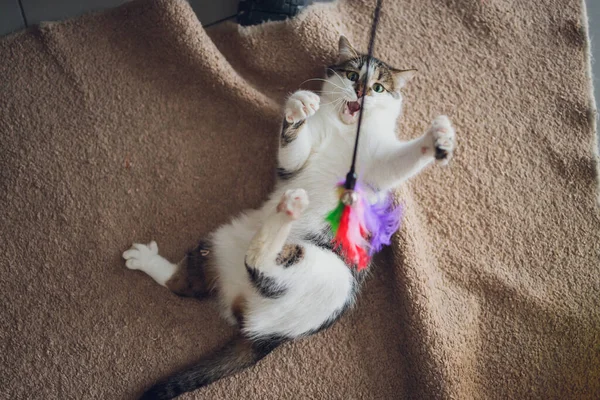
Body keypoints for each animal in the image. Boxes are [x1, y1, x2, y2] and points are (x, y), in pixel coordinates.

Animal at [124, 36, 458, 398]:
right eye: (352, 75)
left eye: (379, 87)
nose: (361, 92)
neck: (345, 133)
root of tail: (261, 331)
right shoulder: (295, 163)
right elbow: (292, 150)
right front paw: (298, 107)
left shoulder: (377, 168)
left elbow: (397, 160)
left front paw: (435, 139)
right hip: (225, 238)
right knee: (186, 283)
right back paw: (147, 259)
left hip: (330, 275)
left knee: (256, 264)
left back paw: (288, 211)